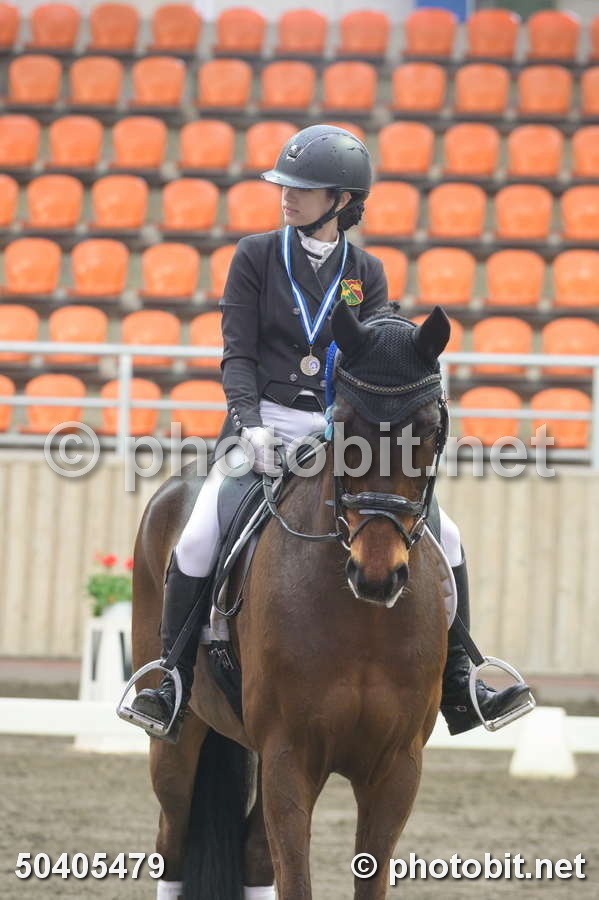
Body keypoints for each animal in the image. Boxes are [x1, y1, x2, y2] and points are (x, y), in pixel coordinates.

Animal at [130, 301, 452, 900]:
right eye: (342, 424)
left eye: (429, 429)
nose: (377, 574)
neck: (363, 623)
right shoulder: (288, 757)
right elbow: (294, 876)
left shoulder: (398, 768)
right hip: (177, 739)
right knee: (172, 841)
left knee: (254, 855)